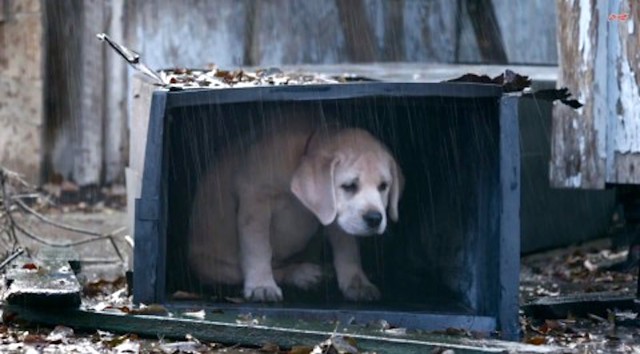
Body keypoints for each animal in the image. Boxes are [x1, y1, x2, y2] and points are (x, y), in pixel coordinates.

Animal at [188, 113, 402, 302]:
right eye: (349, 186)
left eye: (384, 186)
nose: (374, 218)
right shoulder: (255, 201)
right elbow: (258, 247)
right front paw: (261, 285)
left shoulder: (334, 213)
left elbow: (347, 247)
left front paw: (356, 283)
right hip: (214, 266)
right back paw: (302, 273)